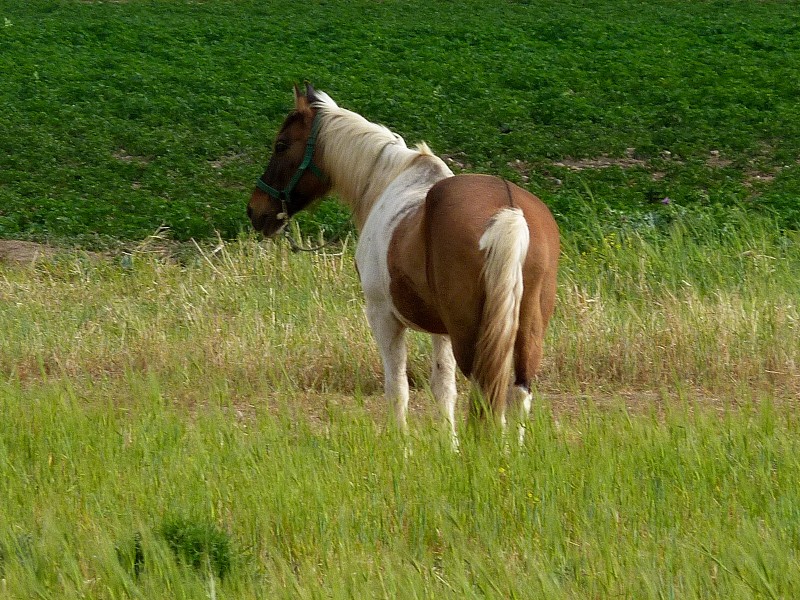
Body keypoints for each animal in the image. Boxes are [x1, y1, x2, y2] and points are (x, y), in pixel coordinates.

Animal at [247, 83, 560, 440]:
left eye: (281, 145)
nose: (255, 210)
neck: (387, 179)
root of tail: (509, 211)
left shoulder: (383, 317)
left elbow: (397, 389)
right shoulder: (442, 331)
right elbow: (443, 388)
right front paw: (448, 445)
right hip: (523, 333)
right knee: (518, 394)